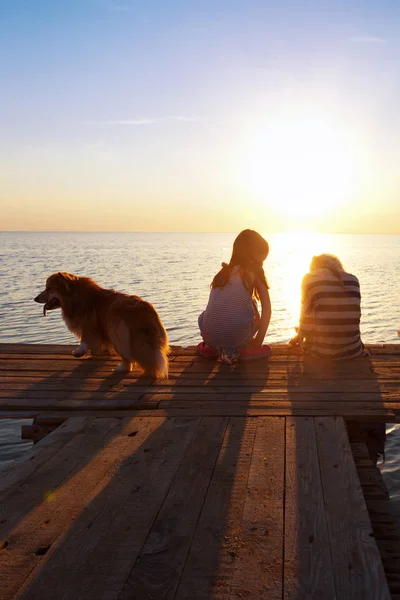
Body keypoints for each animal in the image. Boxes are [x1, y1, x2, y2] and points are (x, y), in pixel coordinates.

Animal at [34, 270, 170, 376]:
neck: (75, 296)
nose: (35, 299)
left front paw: (78, 352)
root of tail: (145, 311)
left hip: (116, 329)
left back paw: (121, 368)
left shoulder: (89, 325)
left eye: (49, 289)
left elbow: (84, 340)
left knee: (127, 357)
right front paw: (105, 350)